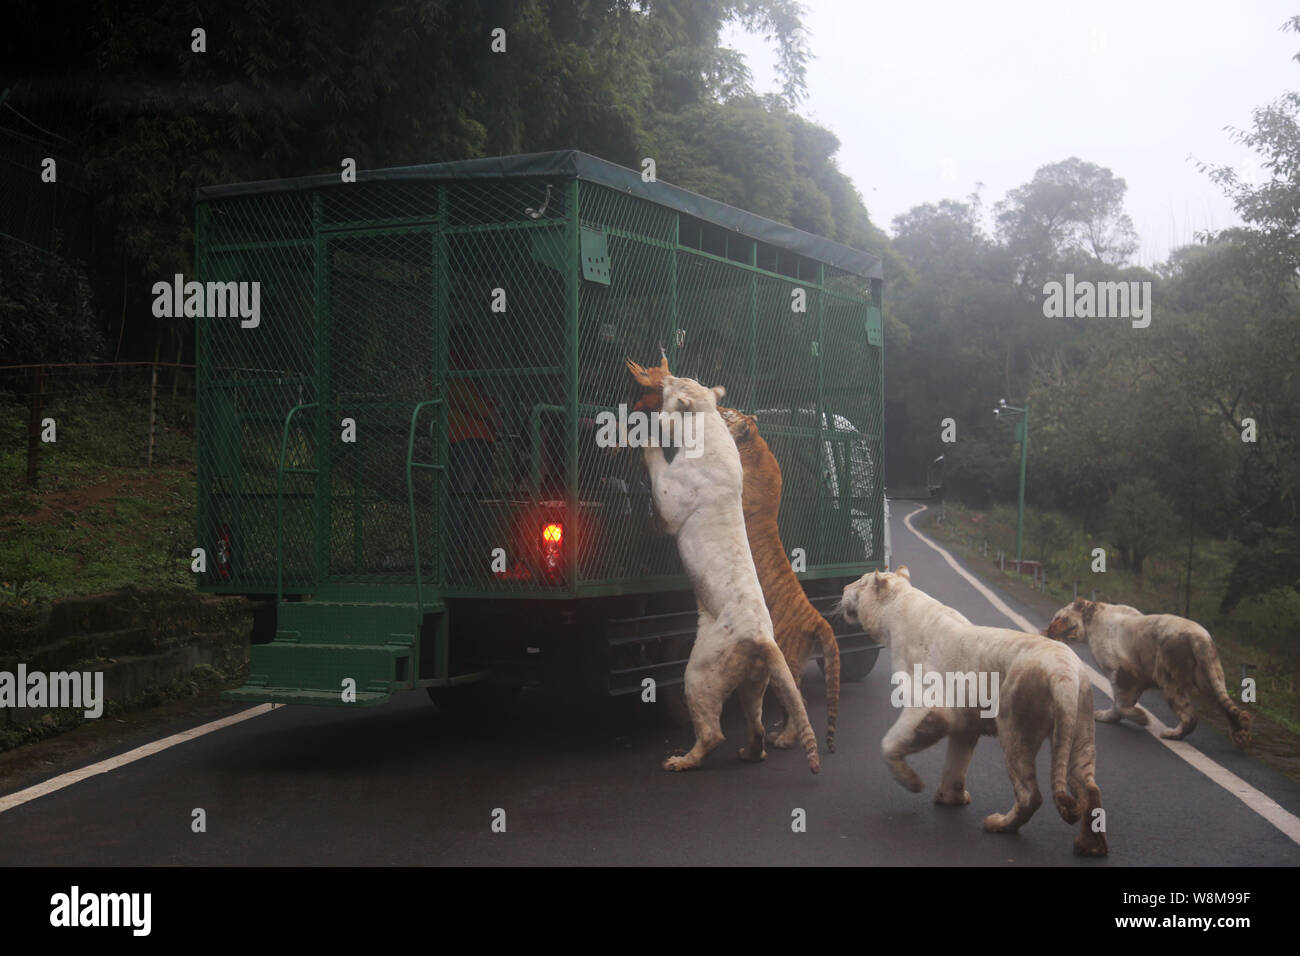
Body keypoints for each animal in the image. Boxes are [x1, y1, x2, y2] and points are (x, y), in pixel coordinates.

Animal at [644, 374, 816, 780]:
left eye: (676, 381)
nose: (666, 375)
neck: (706, 422)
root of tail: (763, 639)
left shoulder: (671, 498)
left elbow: (658, 459)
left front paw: (639, 430)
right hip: (753, 681)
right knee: (756, 724)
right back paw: (750, 754)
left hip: (701, 670)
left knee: (713, 732)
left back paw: (680, 761)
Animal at [832, 567, 1107, 858]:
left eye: (859, 582)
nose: (843, 589)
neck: (898, 610)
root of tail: (1063, 673)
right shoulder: (965, 720)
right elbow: (957, 759)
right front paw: (951, 798)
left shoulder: (927, 702)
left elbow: (890, 743)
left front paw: (913, 783)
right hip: (1081, 725)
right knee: (1089, 786)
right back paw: (1090, 847)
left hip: (1015, 721)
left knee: (1030, 793)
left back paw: (998, 824)